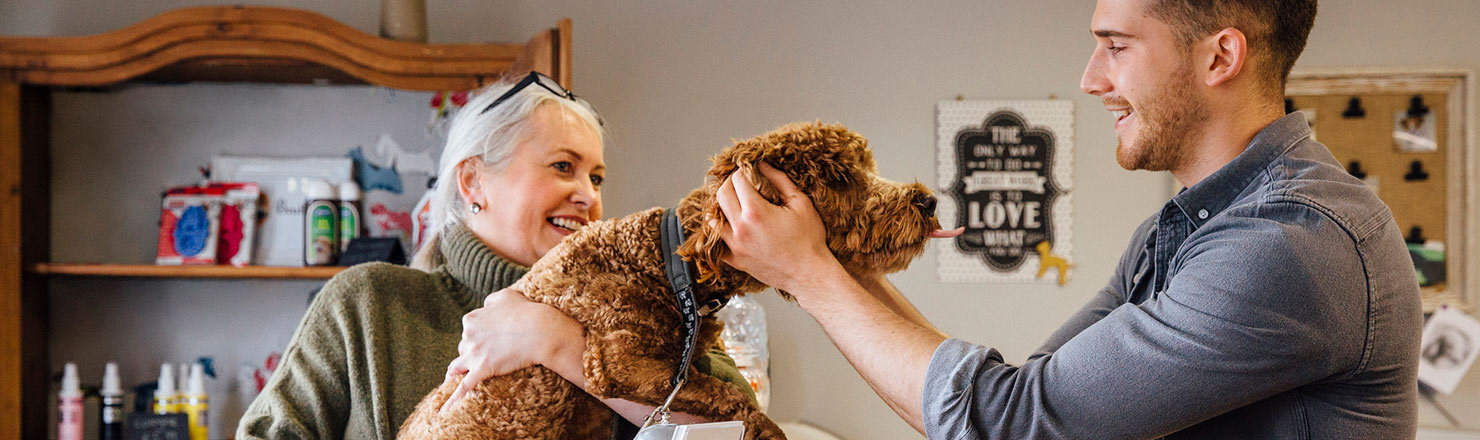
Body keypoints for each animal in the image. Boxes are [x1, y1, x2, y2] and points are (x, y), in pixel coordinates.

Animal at [396, 120, 947, 438]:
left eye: (867, 166)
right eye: (839, 177)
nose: (927, 200)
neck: (667, 263)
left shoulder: (692, 356)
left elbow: (724, 383)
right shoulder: (619, 361)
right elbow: (731, 395)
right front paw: (769, 431)